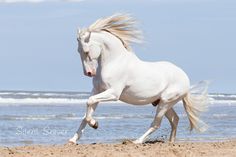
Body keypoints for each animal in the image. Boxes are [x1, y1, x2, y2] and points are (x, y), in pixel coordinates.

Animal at [68, 13, 208, 145]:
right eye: (78, 51)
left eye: (86, 51)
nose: (88, 73)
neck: (114, 62)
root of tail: (185, 78)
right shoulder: (97, 90)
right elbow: (86, 111)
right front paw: (73, 139)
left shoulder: (113, 93)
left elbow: (89, 102)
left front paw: (94, 124)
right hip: (163, 102)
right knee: (175, 119)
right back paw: (170, 142)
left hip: (165, 102)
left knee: (156, 124)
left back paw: (137, 141)